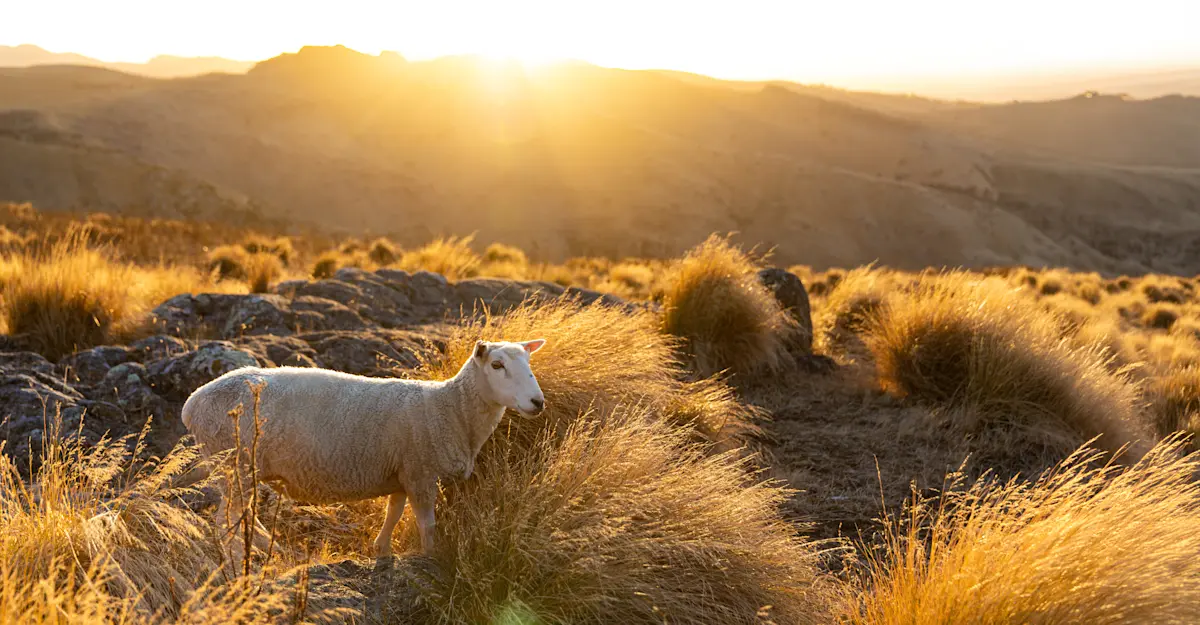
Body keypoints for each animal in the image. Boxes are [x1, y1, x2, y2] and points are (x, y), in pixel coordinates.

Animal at [181, 338, 547, 563]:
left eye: (529, 362)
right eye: (497, 365)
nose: (537, 402)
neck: (451, 408)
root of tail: (192, 402)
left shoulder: (402, 471)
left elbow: (393, 513)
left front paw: (382, 550)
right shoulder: (421, 472)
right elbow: (426, 525)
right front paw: (430, 557)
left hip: (238, 468)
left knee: (242, 516)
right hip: (235, 462)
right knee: (226, 521)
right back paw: (237, 561)